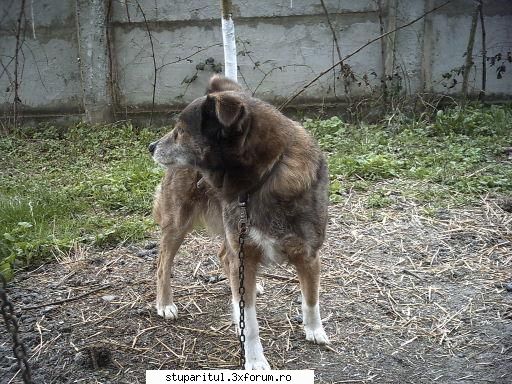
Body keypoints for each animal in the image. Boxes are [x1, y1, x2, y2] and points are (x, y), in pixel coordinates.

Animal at [150, 75, 330, 368]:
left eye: (181, 131)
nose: (150, 147)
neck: (264, 178)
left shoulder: (308, 255)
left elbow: (311, 299)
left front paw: (314, 330)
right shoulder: (244, 249)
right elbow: (252, 323)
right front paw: (255, 360)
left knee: (225, 258)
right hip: (179, 222)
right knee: (163, 263)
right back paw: (165, 303)